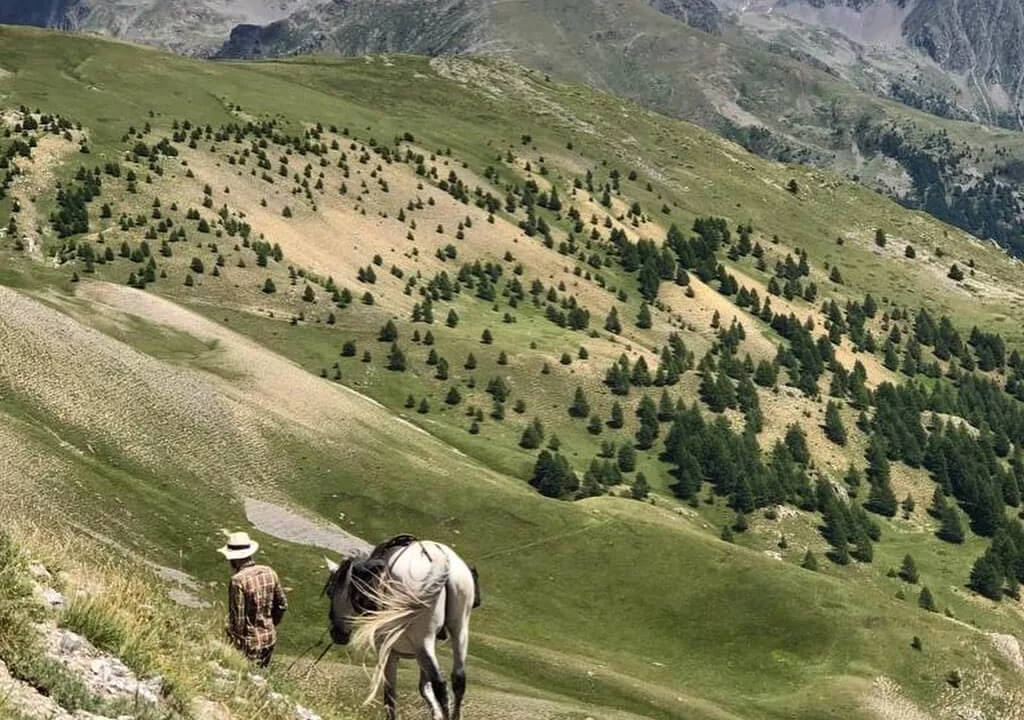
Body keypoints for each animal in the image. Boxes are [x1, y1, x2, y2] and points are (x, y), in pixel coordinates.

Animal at [323, 536, 479, 716]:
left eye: (330, 592)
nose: (336, 634)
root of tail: (443, 561)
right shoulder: (418, 656)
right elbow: (424, 689)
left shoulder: (390, 652)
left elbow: (390, 697)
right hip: (459, 631)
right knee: (458, 680)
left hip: (423, 641)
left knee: (440, 685)